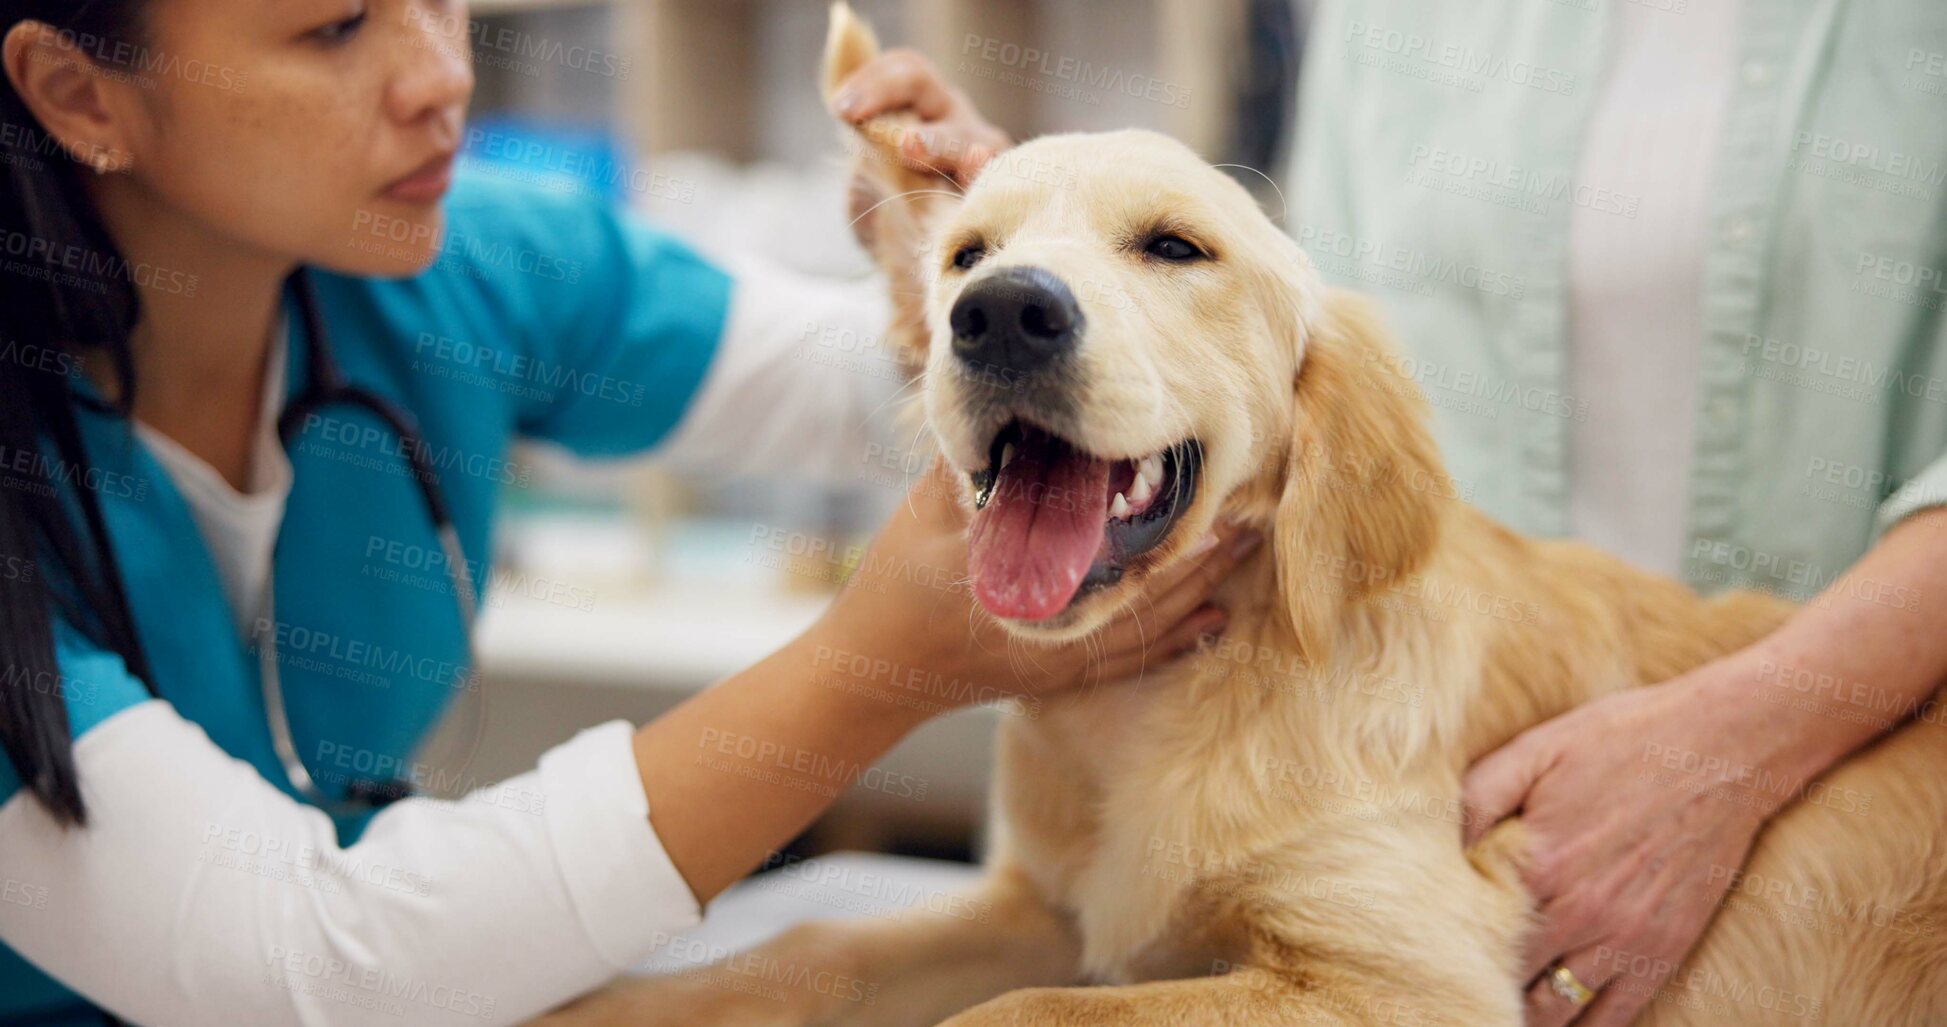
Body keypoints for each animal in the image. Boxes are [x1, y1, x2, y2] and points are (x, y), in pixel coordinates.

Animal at [533, 8, 1947, 1027]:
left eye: (1175, 248)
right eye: (964, 256)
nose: (1002, 313)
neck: (1155, 707)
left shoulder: (1402, 979)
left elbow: (1021, 1013)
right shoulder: (1044, 910)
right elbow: (800, 946)